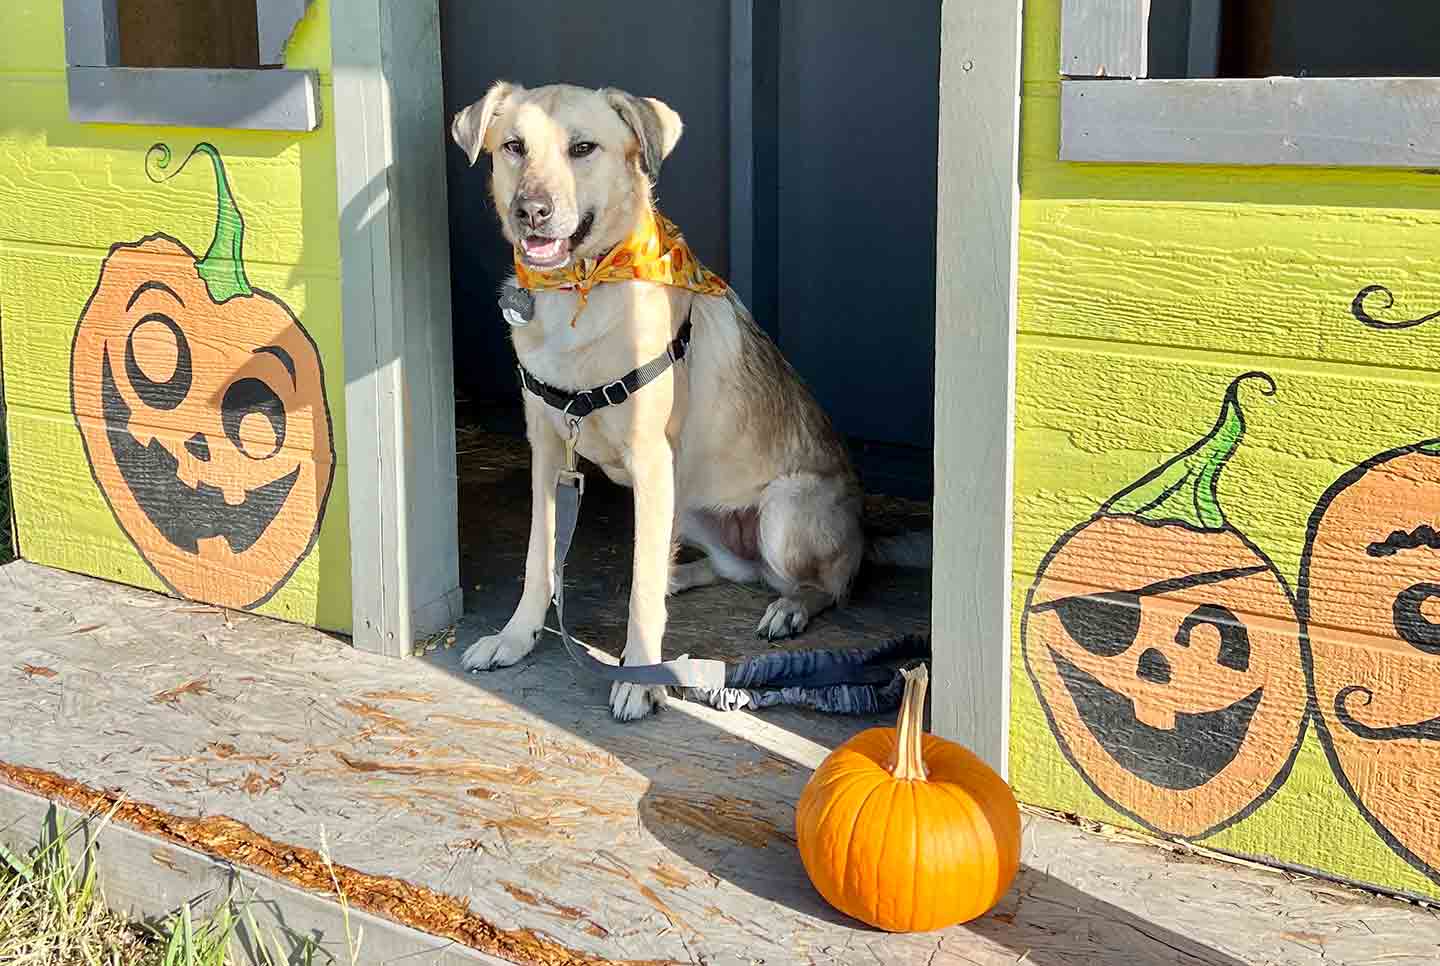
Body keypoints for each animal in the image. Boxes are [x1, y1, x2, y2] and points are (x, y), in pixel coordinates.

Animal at [446, 83, 921, 716]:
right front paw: (515, 637)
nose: (531, 211)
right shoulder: (547, 453)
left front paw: (640, 676)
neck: (582, 291)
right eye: (514, 147)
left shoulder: (650, 460)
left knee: (824, 586)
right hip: (688, 505)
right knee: (731, 570)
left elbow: (640, 593)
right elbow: (538, 558)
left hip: (782, 511)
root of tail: (865, 538)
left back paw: (790, 607)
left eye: (583, 148)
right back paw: (685, 576)